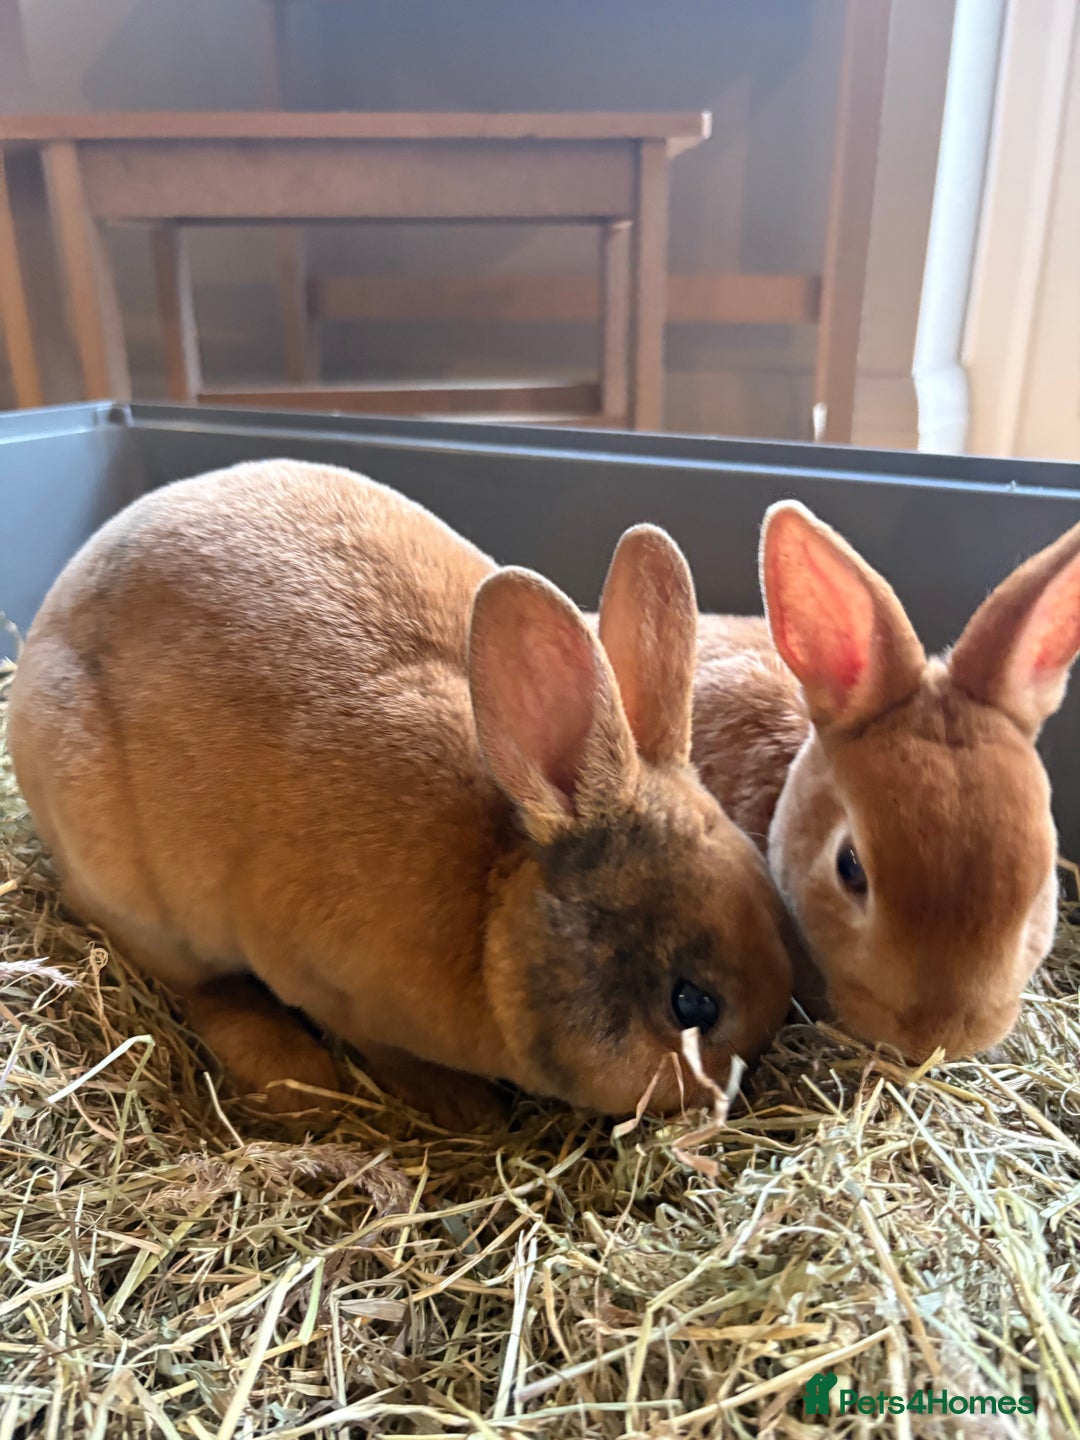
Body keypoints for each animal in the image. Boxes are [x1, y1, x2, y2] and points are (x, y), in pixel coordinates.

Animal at [7, 459, 793, 1131]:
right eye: (691, 1003)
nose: (730, 1099)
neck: (490, 906)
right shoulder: (320, 979)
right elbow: (376, 1046)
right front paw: (462, 1107)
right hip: (140, 899)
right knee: (203, 990)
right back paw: (297, 1080)